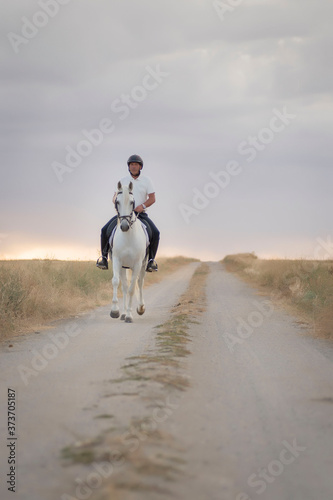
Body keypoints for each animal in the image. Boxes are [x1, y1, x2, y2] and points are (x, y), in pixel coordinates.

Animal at [109, 182, 147, 322]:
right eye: (117, 202)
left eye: (132, 202)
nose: (124, 226)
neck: (128, 236)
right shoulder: (117, 260)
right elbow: (116, 281)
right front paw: (115, 311)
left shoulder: (137, 264)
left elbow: (132, 289)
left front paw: (130, 316)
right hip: (123, 266)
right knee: (124, 287)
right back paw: (124, 313)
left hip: (143, 265)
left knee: (140, 283)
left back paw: (140, 308)